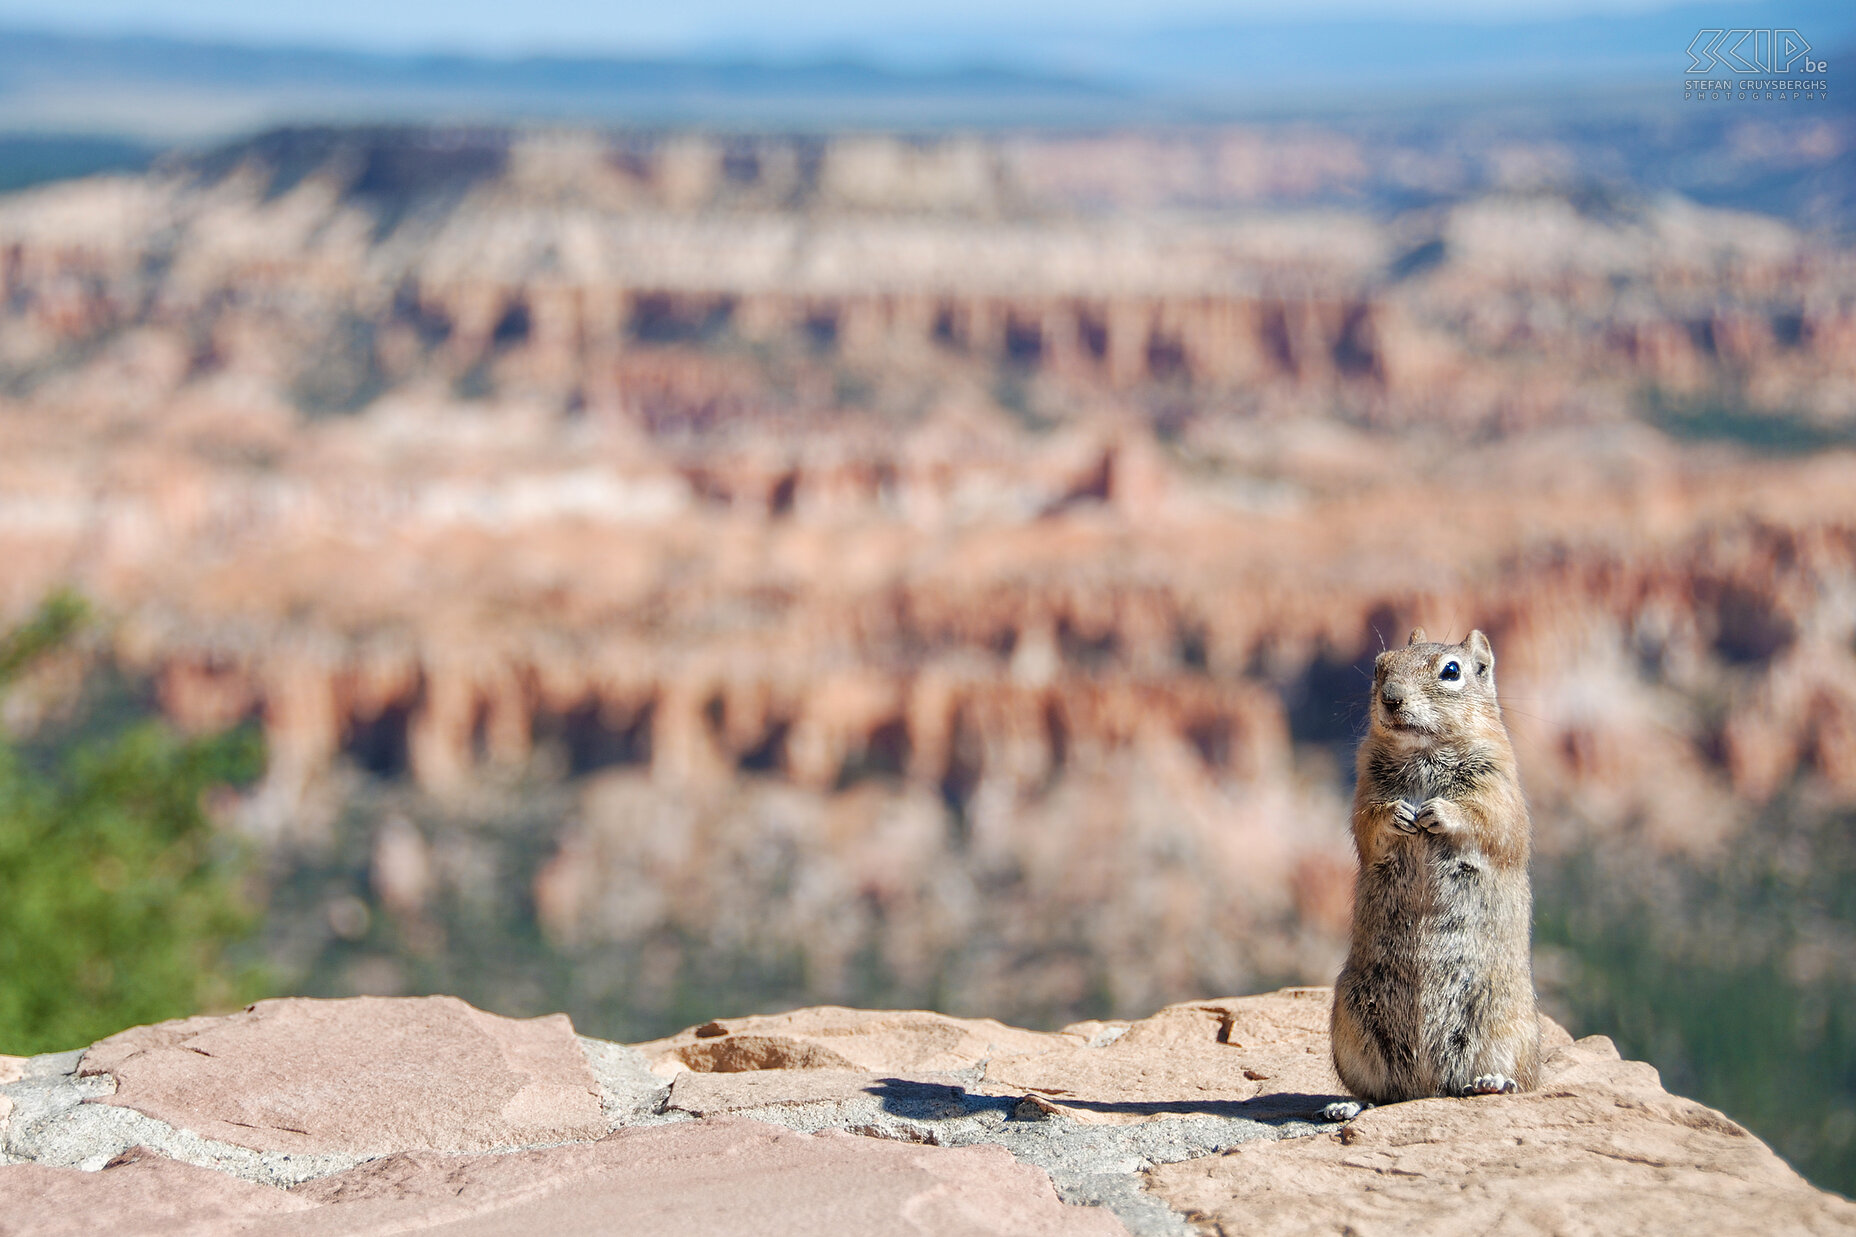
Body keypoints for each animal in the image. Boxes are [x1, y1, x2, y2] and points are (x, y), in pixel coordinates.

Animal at [1328, 627, 1544, 1114]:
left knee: (1522, 1079)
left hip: (1505, 1017)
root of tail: (1427, 1086)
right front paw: (1399, 815)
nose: (1390, 698)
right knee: (1377, 1092)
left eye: (1451, 671)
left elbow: (1490, 821)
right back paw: (1346, 1106)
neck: (1425, 751)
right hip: (1349, 1020)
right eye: (1379, 666)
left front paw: (1437, 812)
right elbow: (1368, 823)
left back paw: (1490, 1082)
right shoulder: (1364, 791)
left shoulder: (1499, 787)